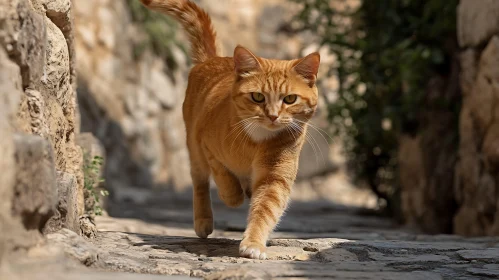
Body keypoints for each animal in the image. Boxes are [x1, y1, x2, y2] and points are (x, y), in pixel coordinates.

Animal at [141, 0, 320, 260]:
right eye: (258, 97)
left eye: (290, 99)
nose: (272, 115)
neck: (256, 141)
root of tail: (213, 59)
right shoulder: (206, 144)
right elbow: (222, 175)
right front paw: (232, 195)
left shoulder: (274, 177)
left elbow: (265, 209)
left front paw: (253, 243)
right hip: (193, 150)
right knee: (200, 182)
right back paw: (204, 219)